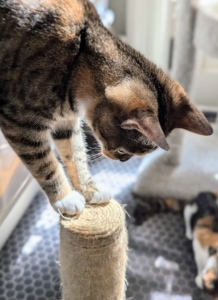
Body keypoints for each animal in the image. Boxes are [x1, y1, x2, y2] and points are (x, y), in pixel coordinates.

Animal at [0, 0, 212, 216]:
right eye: (122, 151)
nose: (123, 161)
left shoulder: (66, 122)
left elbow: (75, 154)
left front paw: (90, 190)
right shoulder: (19, 123)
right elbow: (44, 162)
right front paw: (65, 198)